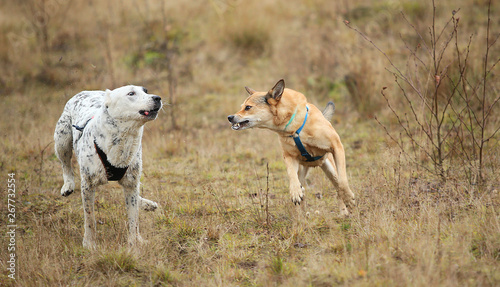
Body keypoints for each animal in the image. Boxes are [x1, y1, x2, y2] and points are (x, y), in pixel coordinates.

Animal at [55, 85, 163, 250]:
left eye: (145, 90)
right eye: (131, 93)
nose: (157, 97)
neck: (124, 138)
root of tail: (87, 91)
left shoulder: (131, 183)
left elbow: (133, 219)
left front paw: (134, 243)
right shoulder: (87, 185)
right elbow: (90, 218)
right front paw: (89, 244)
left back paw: (146, 206)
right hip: (62, 138)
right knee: (65, 163)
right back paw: (68, 185)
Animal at [229, 79, 354, 216]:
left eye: (248, 107)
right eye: (242, 106)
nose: (230, 117)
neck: (294, 128)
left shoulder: (336, 146)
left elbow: (343, 181)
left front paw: (349, 198)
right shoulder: (289, 156)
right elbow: (291, 175)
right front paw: (295, 192)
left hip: (330, 168)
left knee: (337, 186)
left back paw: (343, 212)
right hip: (302, 170)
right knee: (302, 188)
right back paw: (302, 215)